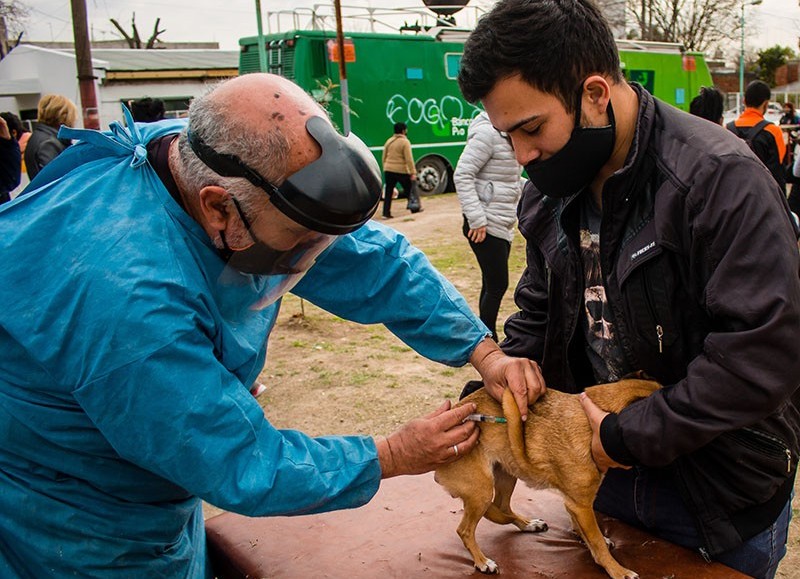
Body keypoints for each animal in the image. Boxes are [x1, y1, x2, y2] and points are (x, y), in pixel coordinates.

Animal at [434, 378, 660, 579]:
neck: (590, 423)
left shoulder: (574, 503)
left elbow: (585, 532)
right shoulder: (581, 506)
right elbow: (596, 541)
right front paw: (617, 570)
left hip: (507, 476)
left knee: (502, 507)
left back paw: (528, 524)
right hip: (482, 491)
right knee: (465, 530)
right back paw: (482, 561)